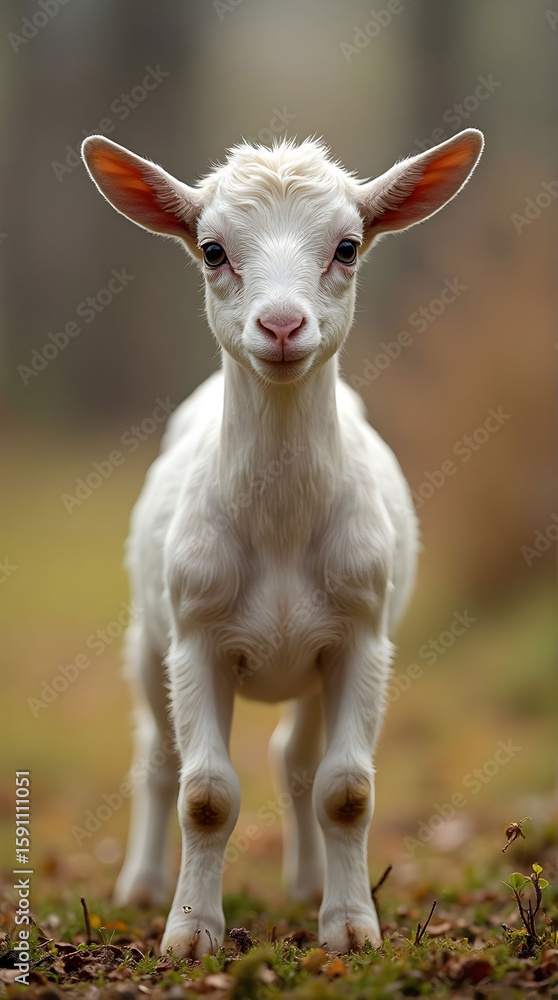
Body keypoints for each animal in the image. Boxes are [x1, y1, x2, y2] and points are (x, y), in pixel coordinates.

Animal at [81, 129, 483, 957]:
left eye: (348, 247)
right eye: (212, 250)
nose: (281, 326)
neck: (280, 534)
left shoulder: (361, 635)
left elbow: (346, 789)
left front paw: (351, 927)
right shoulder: (196, 634)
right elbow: (204, 794)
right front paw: (190, 934)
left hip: (310, 664)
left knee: (295, 761)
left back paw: (305, 884)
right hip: (147, 638)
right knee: (157, 760)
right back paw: (141, 887)